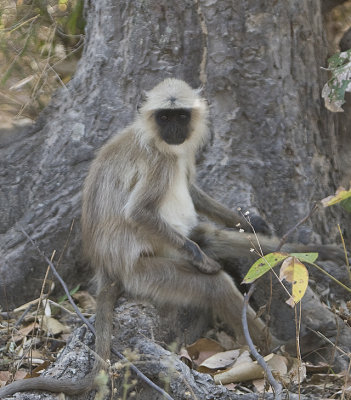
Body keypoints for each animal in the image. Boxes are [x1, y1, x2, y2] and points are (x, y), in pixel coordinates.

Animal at [0, 78, 346, 396]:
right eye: (164, 117)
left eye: (180, 116)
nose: (174, 129)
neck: (157, 140)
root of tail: (107, 268)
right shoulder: (158, 160)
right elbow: (138, 213)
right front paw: (204, 261)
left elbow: (192, 188)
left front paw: (251, 223)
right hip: (146, 274)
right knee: (214, 283)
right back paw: (277, 348)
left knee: (217, 239)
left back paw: (325, 254)